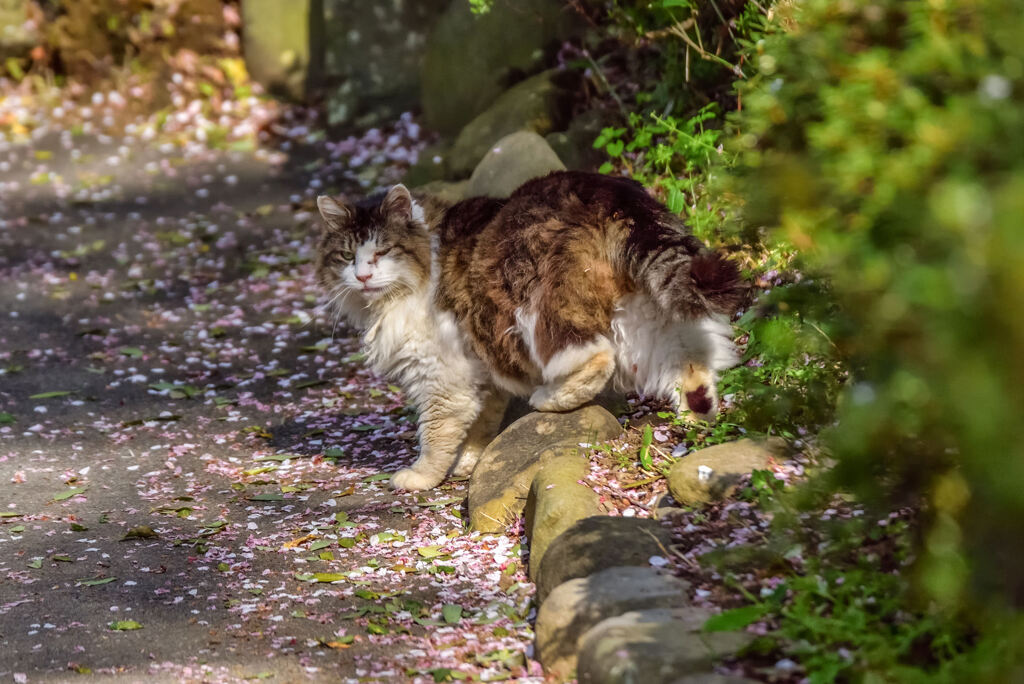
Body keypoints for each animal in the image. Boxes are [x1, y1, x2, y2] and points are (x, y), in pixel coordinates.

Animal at [311, 171, 745, 491]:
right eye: (346, 256)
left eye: (382, 252)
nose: (362, 276)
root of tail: (605, 187)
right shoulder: (477, 374)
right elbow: (479, 424)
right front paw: (467, 464)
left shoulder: (440, 376)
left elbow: (435, 434)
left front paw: (422, 476)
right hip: (644, 314)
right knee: (691, 363)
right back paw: (697, 418)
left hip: (535, 306)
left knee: (595, 357)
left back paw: (548, 399)